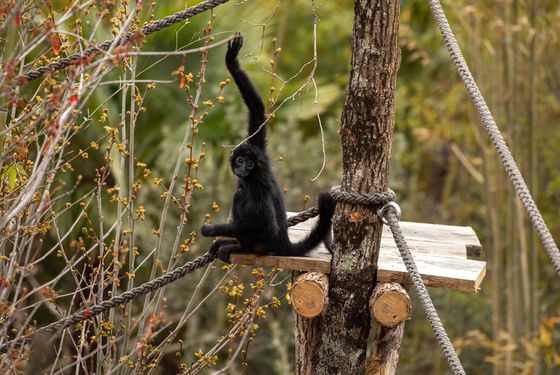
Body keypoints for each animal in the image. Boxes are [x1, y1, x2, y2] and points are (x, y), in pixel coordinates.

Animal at [200, 33, 334, 262]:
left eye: (250, 164)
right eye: (241, 160)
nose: (242, 168)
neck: (252, 175)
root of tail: (283, 244)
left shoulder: (258, 185)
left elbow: (267, 226)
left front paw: (211, 229)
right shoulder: (258, 148)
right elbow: (257, 109)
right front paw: (232, 62)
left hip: (262, 244)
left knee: (240, 196)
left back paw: (239, 247)